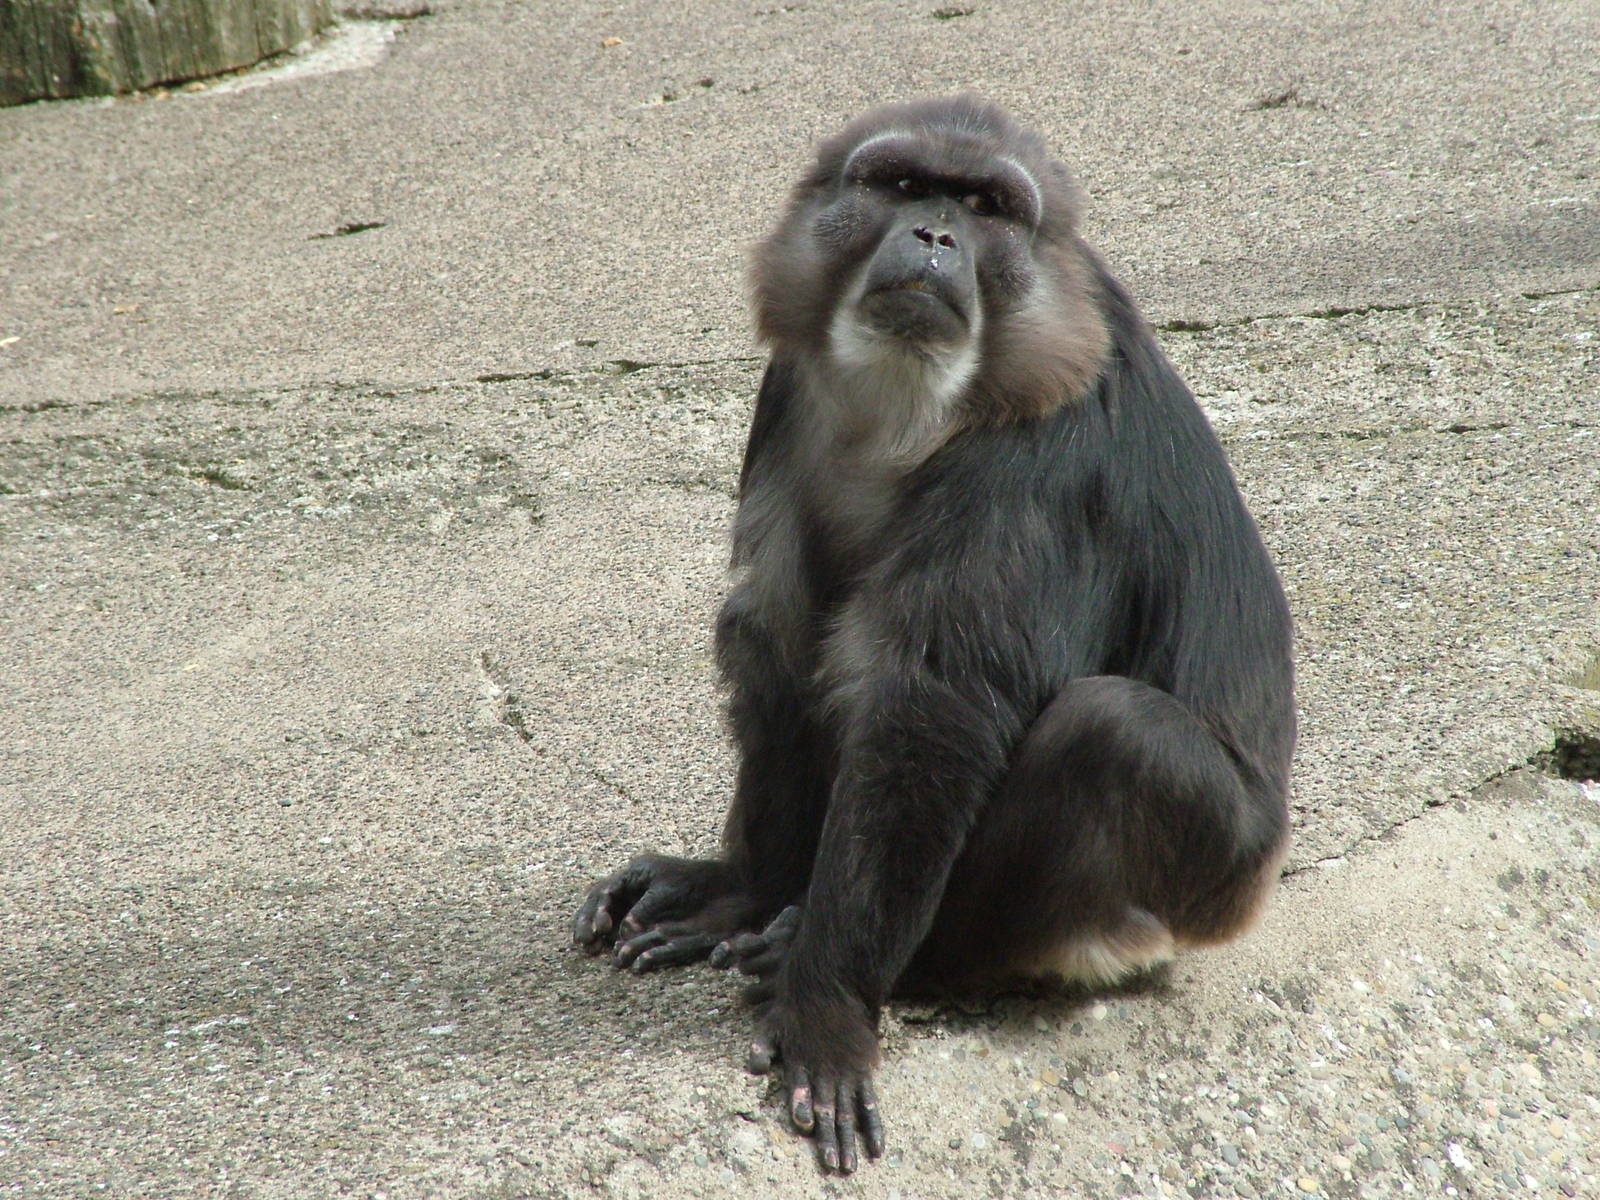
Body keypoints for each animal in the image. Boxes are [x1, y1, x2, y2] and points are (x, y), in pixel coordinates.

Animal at [573, 95, 1295, 1175]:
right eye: (906, 185)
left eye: (985, 206)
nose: (935, 237)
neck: (905, 410)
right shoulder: (790, 389)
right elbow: (777, 635)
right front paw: (742, 889)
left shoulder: (1041, 448)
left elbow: (933, 706)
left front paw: (827, 1003)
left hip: (1206, 877)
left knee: (1110, 731)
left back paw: (915, 967)